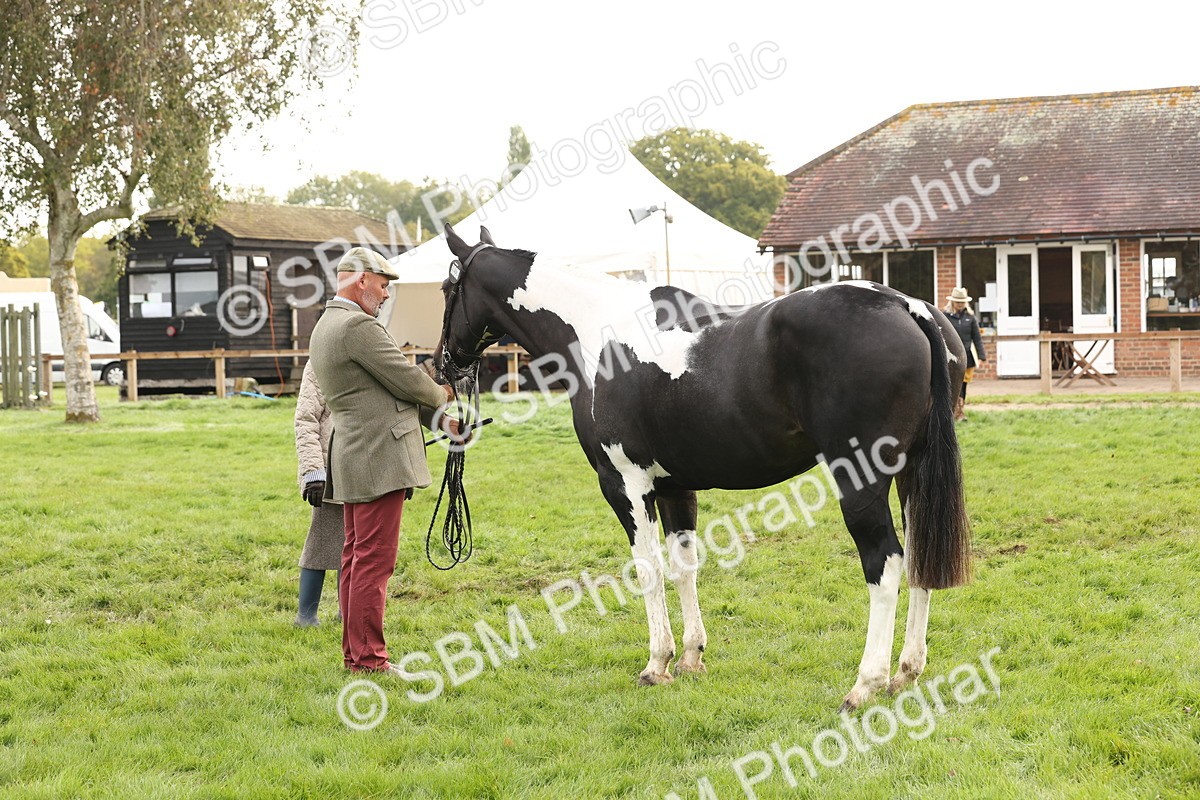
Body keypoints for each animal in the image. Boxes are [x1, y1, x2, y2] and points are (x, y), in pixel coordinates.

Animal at [436, 224, 972, 711]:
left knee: (885, 562)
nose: (443, 364)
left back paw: (866, 684)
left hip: (860, 479)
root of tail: (906, 306)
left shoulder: (625, 485)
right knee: (918, 555)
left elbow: (648, 570)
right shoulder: (675, 488)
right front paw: (692, 657)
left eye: (446, 288)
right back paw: (906, 671)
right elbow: (683, 567)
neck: (594, 332)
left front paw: (657, 663)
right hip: (912, 475)